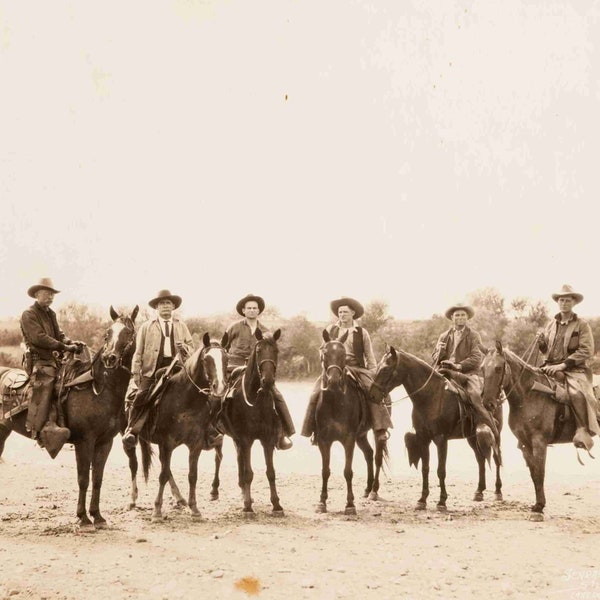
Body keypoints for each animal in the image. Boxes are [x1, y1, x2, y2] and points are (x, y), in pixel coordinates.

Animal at [0, 308, 138, 528]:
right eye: (107, 333)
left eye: (128, 332)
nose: (110, 358)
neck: (99, 389)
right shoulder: (84, 441)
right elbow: (83, 479)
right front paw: (83, 517)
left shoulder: (105, 442)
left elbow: (97, 478)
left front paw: (97, 516)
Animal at [139, 330, 229, 524]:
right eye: (206, 359)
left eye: (226, 358)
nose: (219, 388)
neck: (186, 400)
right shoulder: (167, 443)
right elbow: (163, 475)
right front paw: (157, 511)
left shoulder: (195, 444)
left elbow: (192, 475)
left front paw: (194, 508)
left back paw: (180, 499)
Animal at [219, 328, 284, 516]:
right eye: (259, 350)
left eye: (276, 351)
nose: (268, 381)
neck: (256, 399)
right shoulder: (246, 439)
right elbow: (248, 473)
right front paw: (247, 507)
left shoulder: (267, 440)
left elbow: (270, 472)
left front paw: (276, 505)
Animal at [314, 330, 390, 512]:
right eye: (325, 353)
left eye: (343, 355)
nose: (334, 380)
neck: (335, 401)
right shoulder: (323, 441)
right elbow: (325, 471)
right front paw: (322, 502)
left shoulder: (348, 440)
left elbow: (348, 471)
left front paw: (350, 504)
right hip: (361, 435)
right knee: (369, 454)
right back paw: (367, 488)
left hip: (375, 433)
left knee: (377, 457)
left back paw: (374, 491)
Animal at [370, 346, 502, 510]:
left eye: (386, 369)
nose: (372, 395)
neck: (432, 396)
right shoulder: (423, 439)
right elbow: (425, 469)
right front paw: (422, 500)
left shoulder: (441, 440)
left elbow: (441, 470)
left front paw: (442, 501)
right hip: (472, 437)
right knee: (480, 459)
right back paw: (479, 491)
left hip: (495, 434)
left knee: (496, 458)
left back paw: (498, 491)